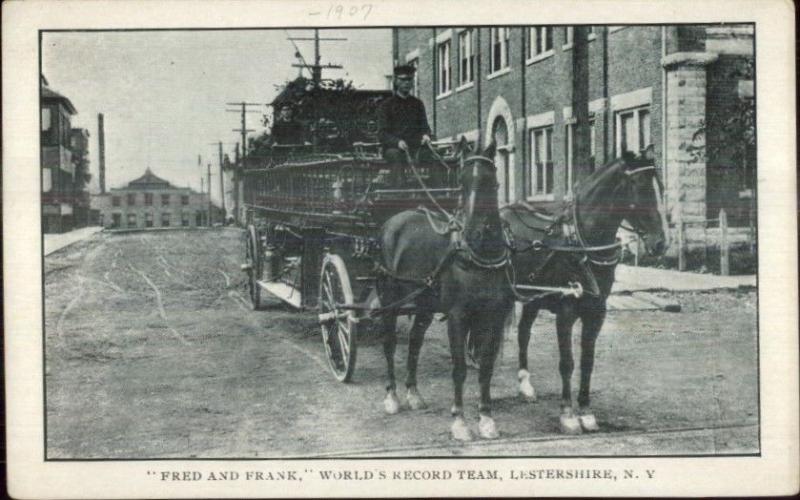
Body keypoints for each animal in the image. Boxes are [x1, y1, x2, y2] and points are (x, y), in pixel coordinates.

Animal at [376, 141, 512, 442]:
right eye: (462, 181)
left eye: (490, 180)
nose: (475, 233)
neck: (478, 257)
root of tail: (393, 221)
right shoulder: (458, 316)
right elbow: (459, 368)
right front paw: (459, 422)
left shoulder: (493, 316)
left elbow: (486, 366)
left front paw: (486, 418)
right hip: (389, 298)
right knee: (389, 343)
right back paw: (391, 397)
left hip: (424, 304)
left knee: (414, 341)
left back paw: (413, 393)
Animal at [500, 151, 668, 434]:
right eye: (638, 186)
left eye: (658, 186)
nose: (660, 243)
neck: (581, 242)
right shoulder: (566, 311)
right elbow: (567, 362)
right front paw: (568, 415)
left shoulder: (596, 312)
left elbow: (587, 361)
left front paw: (587, 412)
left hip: (532, 298)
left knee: (523, 333)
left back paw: (525, 384)